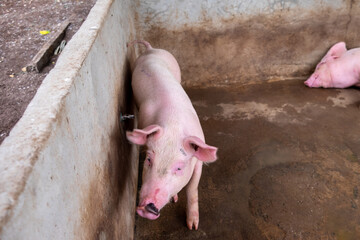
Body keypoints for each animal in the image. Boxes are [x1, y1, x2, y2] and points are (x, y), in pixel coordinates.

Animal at [126, 40, 217, 230]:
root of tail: (151, 49)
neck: (174, 126)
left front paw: (192, 226)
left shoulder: (198, 161)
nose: (147, 207)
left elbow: (192, 188)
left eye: (179, 168)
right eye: (149, 160)